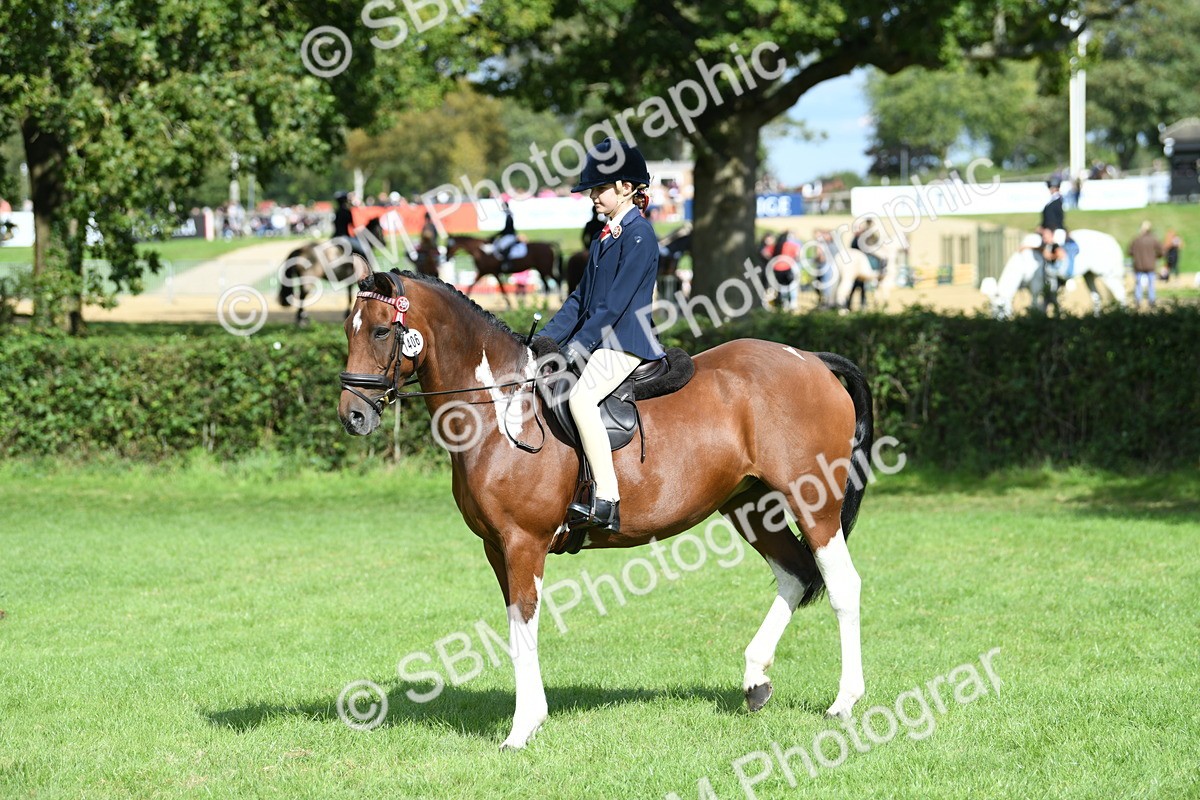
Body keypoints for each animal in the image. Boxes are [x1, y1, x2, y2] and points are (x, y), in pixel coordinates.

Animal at [338, 268, 874, 750]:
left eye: (382, 330)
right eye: (348, 328)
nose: (353, 415)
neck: (500, 409)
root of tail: (810, 360)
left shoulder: (523, 542)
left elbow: (526, 623)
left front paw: (522, 728)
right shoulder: (496, 547)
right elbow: (514, 625)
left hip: (813, 502)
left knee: (842, 585)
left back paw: (844, 701)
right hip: (750, 504)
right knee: (795, 573)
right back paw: (756, 680)